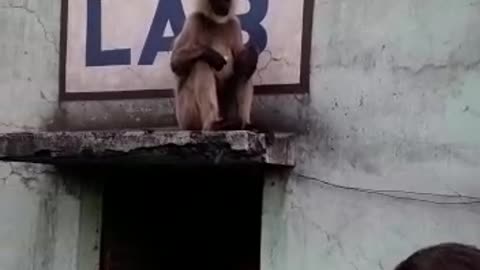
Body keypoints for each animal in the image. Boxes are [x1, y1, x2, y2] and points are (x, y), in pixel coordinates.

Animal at [170, 0, 258, 131]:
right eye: (217, 1)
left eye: (227, 0)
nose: (224, 6)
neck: (216, 22)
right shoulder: (194, 20)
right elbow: (175, 63)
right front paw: (211, 55)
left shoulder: (234, 24)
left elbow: (242, 59)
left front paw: (250, 55)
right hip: (186, 115)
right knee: (201, 63)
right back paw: (211, 124)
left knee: (244, 70)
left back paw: (243, 124)